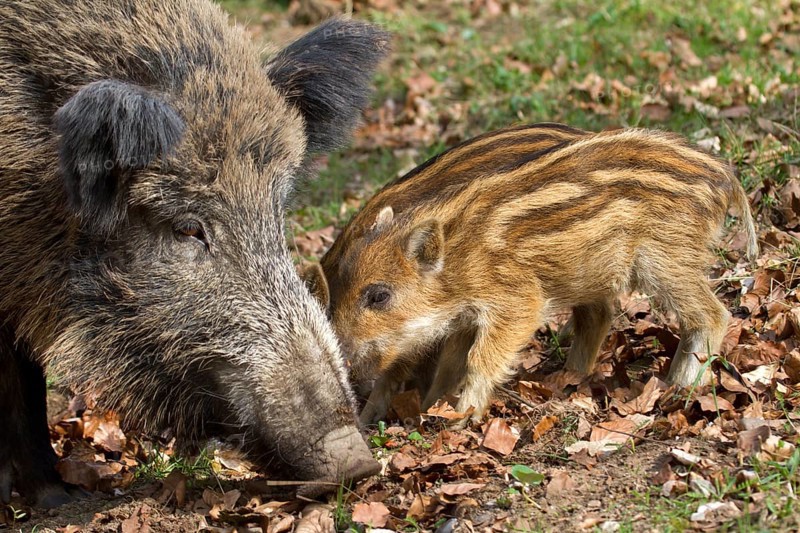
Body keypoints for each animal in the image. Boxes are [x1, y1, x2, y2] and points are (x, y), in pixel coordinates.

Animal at [305, 123, 758, 426]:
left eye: (378, 295)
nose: (343, 354)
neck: (457, 264)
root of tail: (725, 177)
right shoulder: (463, 319)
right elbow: (452, 363)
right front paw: (434, 408)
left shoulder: (515, 298)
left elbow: (477, 360)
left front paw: (461, 416)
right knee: (599, 316)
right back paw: (570, 379)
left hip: (666, 257)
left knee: (712, 314)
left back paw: (680, 388)